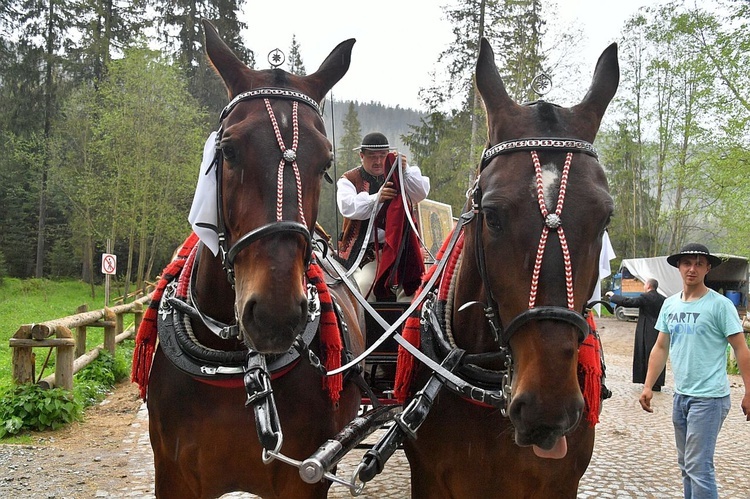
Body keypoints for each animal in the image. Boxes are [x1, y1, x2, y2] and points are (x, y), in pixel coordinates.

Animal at [145, 20, 368, 499]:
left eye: (325, 163)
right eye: (228, 150)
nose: (274, 314)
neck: (236, 362)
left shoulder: (302, 478)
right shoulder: (172, 475)